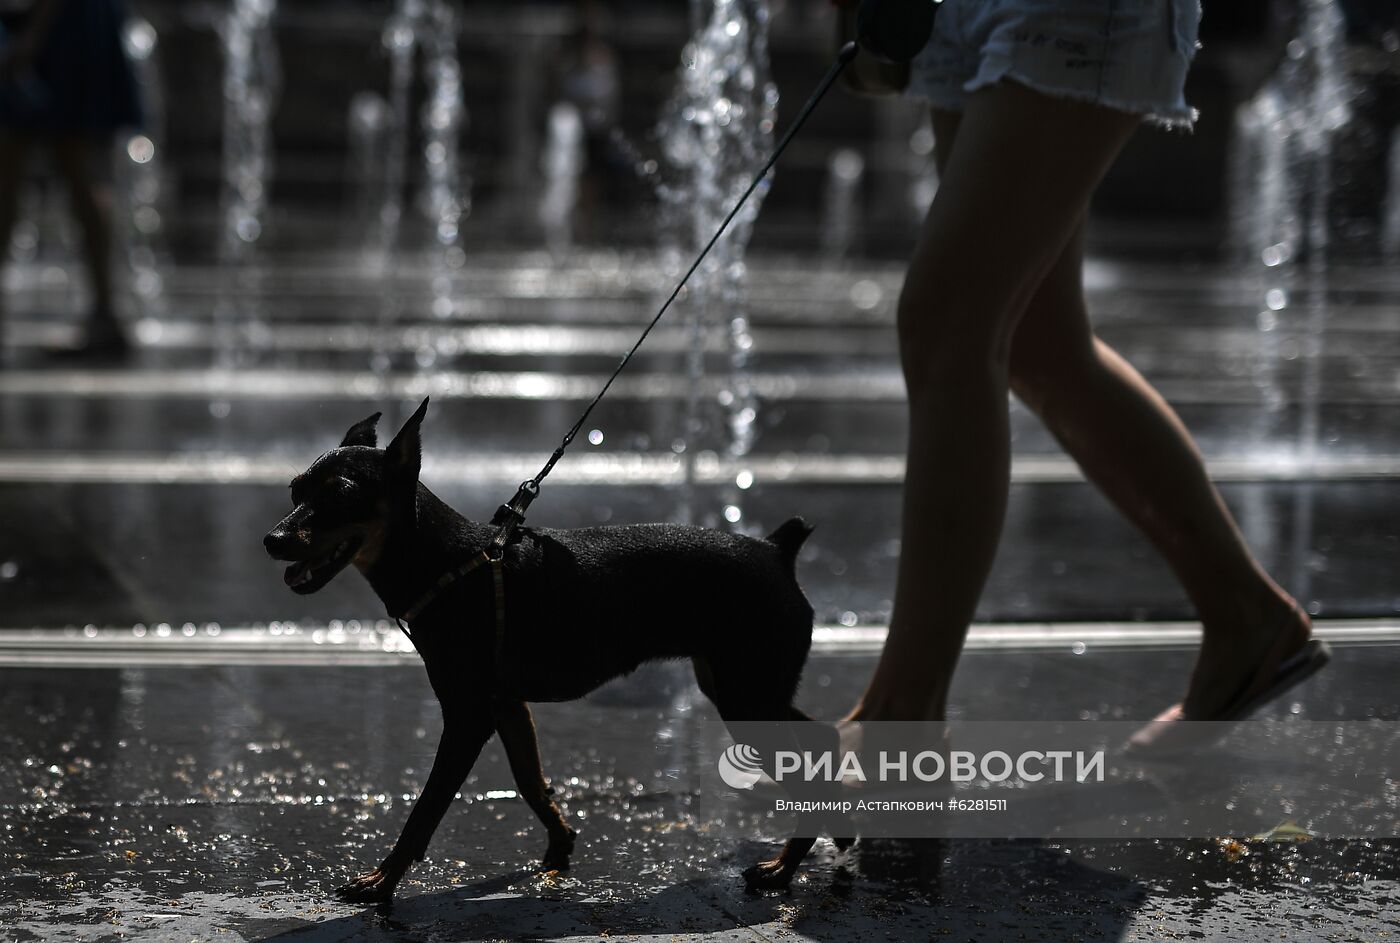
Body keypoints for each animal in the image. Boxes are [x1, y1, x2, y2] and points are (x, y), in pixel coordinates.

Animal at [268, 397, 845, 895]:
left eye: (340, 495)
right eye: (296, 491)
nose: (273, 541)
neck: (449, 562)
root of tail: (777, 550)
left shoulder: (468, 715)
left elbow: (427, 807)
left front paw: (382, 881)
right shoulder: (507, 705)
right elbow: (530, 779)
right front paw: (561, 843)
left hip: (747, 692)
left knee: (810, 758)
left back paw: (783, 868)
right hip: (738, 684)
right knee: (822, 739)